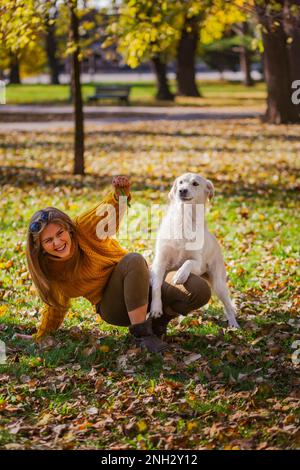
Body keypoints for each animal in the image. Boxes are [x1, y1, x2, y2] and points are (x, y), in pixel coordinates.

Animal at [151, 171, 240, 328]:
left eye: (195, 184)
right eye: (181, 182)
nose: (182, 190)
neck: (184, 219)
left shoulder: (198, 264)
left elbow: (188, 262)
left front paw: (180, 275)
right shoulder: (159, 262)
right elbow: (156, 286)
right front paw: (155, 308)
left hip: (218, 283)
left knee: (227, 306)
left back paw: (234, 324)